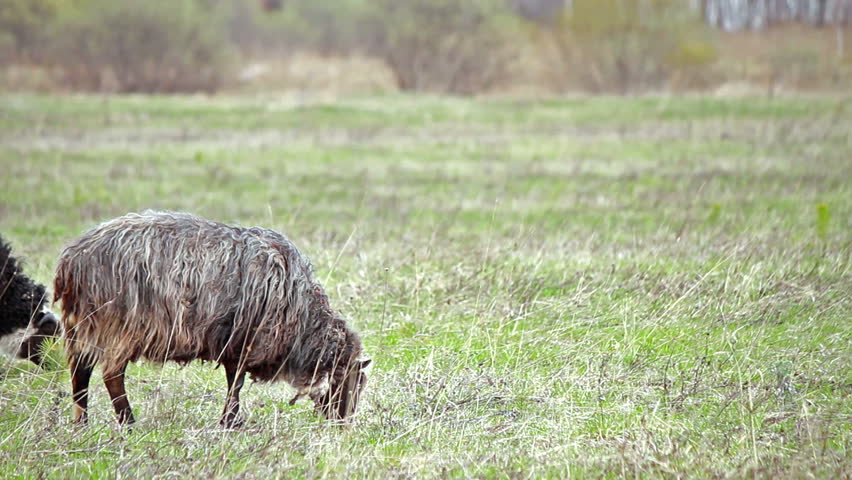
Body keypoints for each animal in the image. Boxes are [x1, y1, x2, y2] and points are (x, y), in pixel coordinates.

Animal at [53, 211, 371, 428]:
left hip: (81, 324)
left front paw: (230, 421)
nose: (343, 424)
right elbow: (236, 384)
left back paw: (81, 423)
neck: (304, 324)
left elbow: (233, 383)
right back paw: (128, 422)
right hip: (120, 326)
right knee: (111, 375)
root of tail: (71, 262)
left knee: (80, 372)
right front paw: (230, 422)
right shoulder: (244, 343)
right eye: (351, 380)